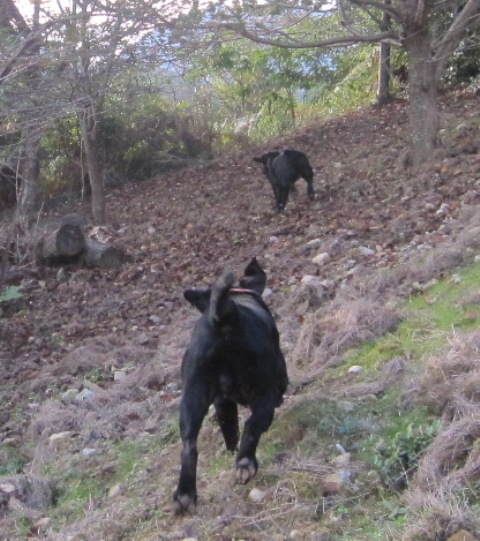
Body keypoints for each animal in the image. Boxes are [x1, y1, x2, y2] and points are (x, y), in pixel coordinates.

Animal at [174, 258, 290, 516]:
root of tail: (223, 318)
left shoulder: (222, 403)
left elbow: (230, 431)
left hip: (191, 399)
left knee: (189, 446)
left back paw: (185, 495)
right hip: (264, 392)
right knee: (253, 425)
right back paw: (246, 464)